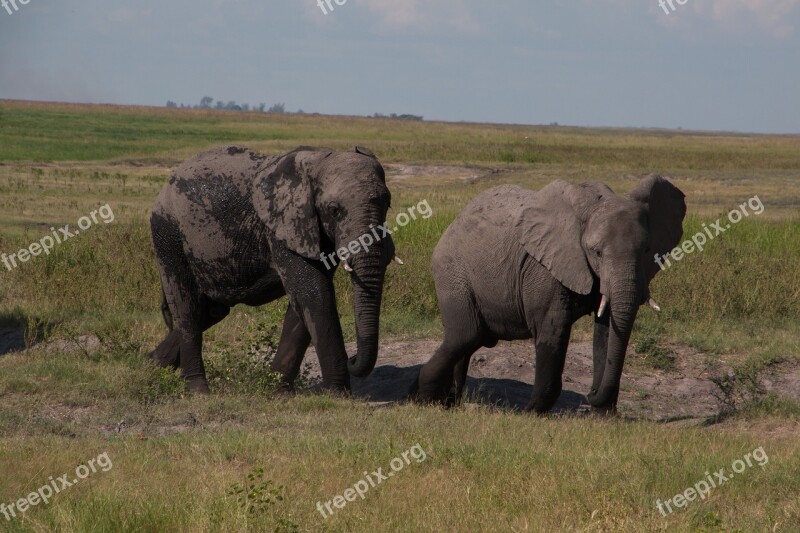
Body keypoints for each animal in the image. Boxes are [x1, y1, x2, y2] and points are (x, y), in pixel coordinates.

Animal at [148, 143, 396, 392]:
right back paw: (198, 390)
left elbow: (302, 304)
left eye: (388, 203)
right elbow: (315, 295)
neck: (317, 161)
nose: (352, 359)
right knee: (187, 307)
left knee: (211, 310)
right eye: (334, 210)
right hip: (168, 233)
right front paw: (339, 394)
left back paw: (151, 365)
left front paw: (277, 390)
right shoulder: (282, 227)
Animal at [416, 177, 684, 414]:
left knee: (470, 339)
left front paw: (605, 417)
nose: (591, 394)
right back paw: (425, 398)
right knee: (465, 333)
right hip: (452, 271)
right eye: (596, 252)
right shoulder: (544, 268)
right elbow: (553, 329)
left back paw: (449, 403)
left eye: (647, 250)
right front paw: (531, 414)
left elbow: (608, 331)